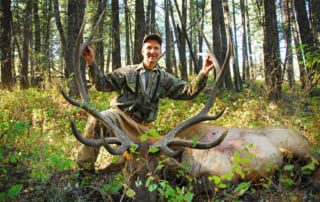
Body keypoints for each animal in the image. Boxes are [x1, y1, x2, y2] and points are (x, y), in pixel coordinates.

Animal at [62, 7, 318, 201]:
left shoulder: (225, 174)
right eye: (126, 167)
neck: (187, 159)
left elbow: (203, 186)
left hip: (301, 149)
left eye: (156, 169)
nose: (143, 196)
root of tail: (307, 139)